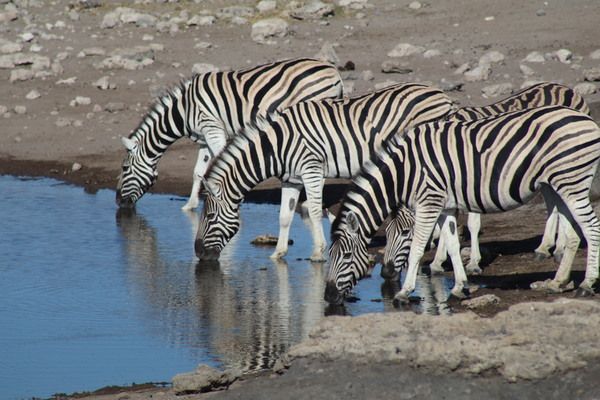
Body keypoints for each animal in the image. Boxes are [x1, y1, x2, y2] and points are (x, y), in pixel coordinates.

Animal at [116, 59, 342, 211]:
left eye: (125, 168)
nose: (118, 203)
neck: (183, 110)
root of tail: (333, 70)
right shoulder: (204, 138)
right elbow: (197, 171)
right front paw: (190, 206)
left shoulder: (213, 128)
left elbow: (218, 163)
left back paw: (308, 202)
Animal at [195, 83, 452, 260]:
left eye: (209, 216)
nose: (198, 254)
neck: (276, 146)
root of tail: (442, 95)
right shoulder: (291, 179)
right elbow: (285, 215)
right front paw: (278, 253)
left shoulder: (312, 169)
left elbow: (315, 210)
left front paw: (318, 252)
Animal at [326, 104, 600, 304]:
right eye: (330, 255)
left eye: (347, 255)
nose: (328, 296)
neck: (404, 172)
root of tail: (586, 119)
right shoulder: (445, 205)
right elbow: (453, 244)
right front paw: (459, 286)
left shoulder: (429, 202)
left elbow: (417, 248)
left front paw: (404, 292)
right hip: (556, 184)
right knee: (574, 234)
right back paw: (557, 283)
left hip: (572, 182)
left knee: (592, 228)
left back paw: (586, 284)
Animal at [380, 83, 592, 280]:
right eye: (387, 233)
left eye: (405, 232)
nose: (385, 273)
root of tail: (567, 88)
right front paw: (438, 261)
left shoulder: (471, 179)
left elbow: (471, 223)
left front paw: (472, 262)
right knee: (553, 202)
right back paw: (547, 247)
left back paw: (558, 247)